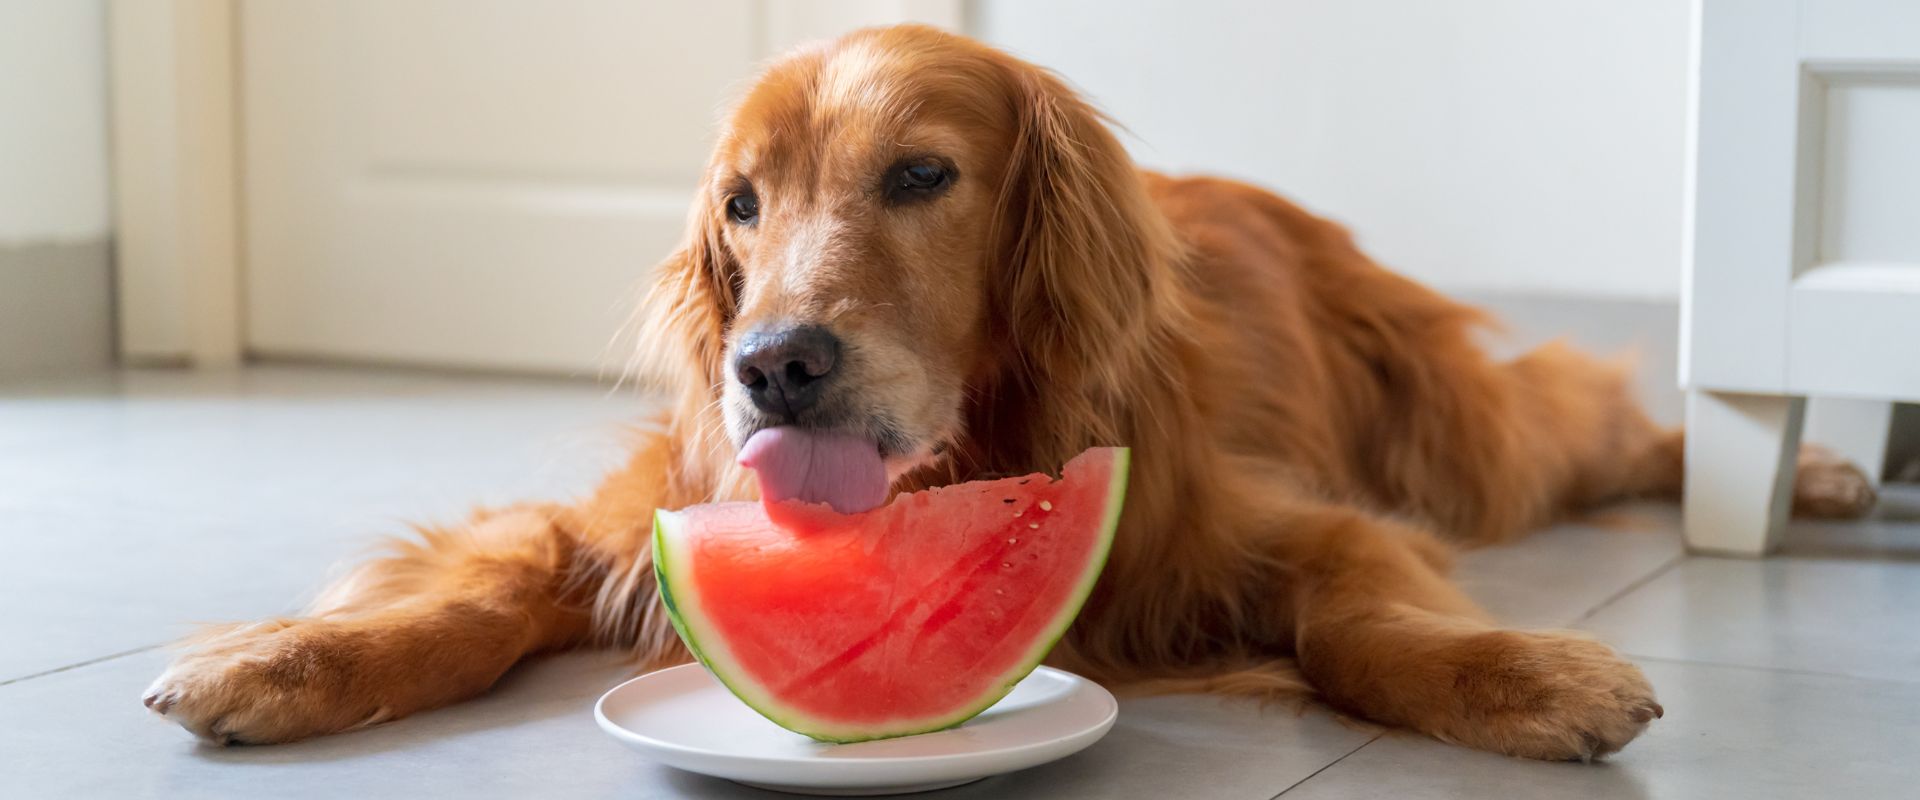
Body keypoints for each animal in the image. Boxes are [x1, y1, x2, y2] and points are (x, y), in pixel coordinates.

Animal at [139, 24, 1873, 755]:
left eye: (921, 175)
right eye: (741, 206)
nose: (774, 366)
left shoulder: (1281, 524)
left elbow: (1363, 619)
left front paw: (1514, 676)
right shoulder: (629, 516)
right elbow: (472, 594)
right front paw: (289, 658)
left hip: (1458, 426)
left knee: (1598, 416)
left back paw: (1810, 472)